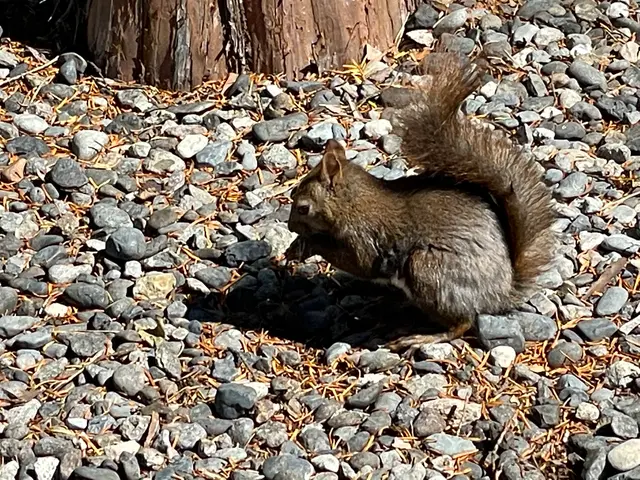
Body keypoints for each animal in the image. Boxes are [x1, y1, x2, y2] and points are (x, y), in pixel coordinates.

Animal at [284, 50, 556, 354]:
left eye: (303, 208)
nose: (291, 227)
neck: (352, 203)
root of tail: (501, 292)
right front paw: (296, 246)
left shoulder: (363, 238)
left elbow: (358, 262)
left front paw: (307, 246)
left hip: (426, 268)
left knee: (462, 322)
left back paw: (421, 337)